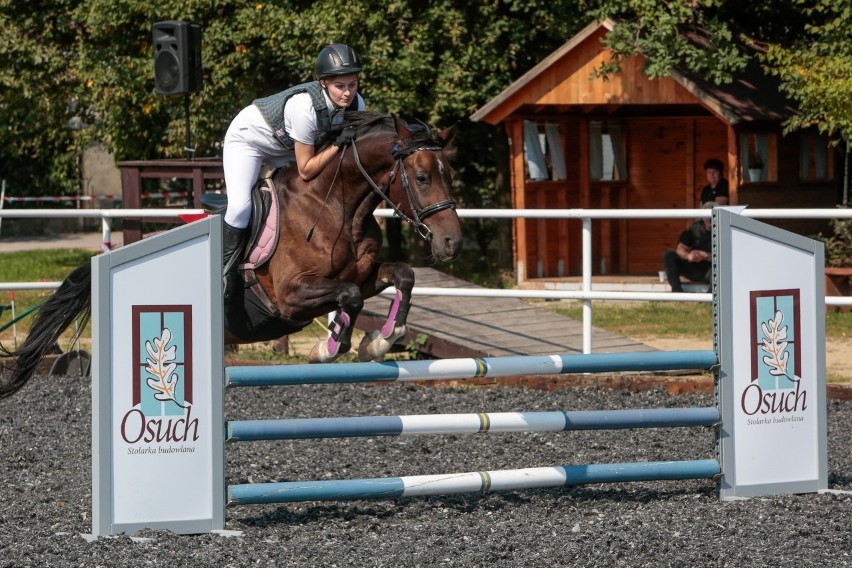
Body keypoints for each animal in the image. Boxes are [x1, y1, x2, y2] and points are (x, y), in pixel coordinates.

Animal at [0, 108, 462, 398]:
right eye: (422, 177)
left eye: (450, 174)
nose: (452, 242)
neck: (335, 206)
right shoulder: (290, 296)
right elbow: (347, 298)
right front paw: (329, 347)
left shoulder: (364, 277)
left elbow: (401, 277)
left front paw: (381, 341)